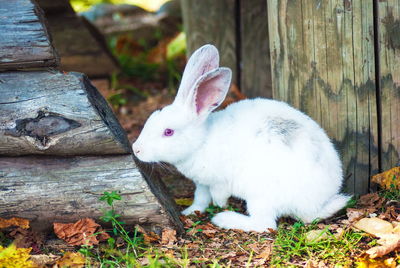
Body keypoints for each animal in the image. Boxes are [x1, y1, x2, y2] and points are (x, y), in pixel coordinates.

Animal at [132, 44, 350, 232]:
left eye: (168, 132)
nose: (136, 149)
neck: (202, 141)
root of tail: (314, 206)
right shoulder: (202, 183)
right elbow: (200, 197)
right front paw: (190, 211)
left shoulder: (219, 182)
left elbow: (218, 195)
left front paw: (219, 205)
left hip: (260, 196)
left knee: (265, 224)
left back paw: (224, 219)